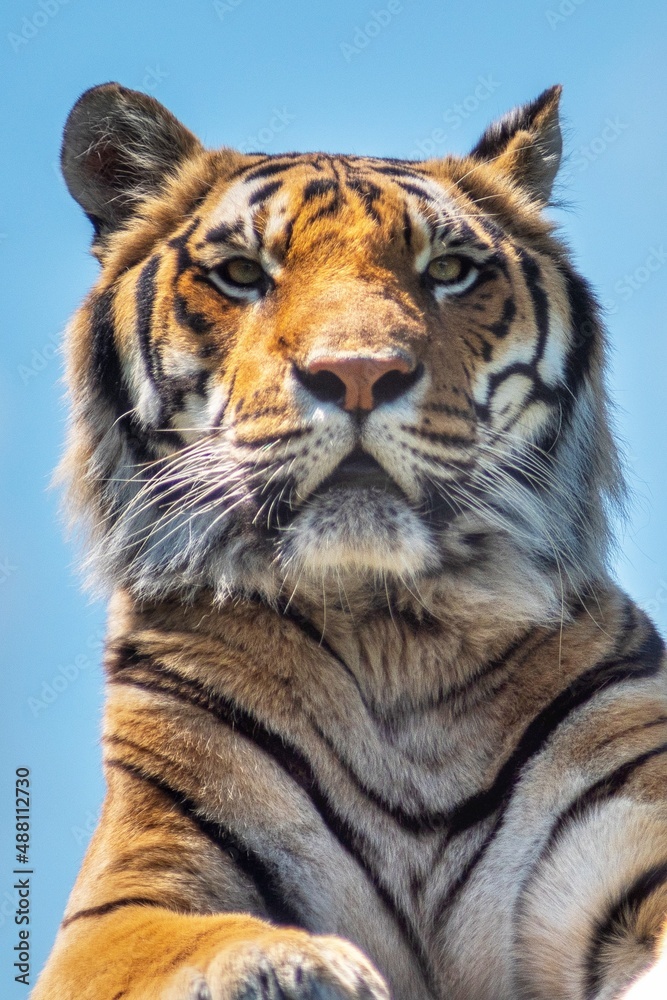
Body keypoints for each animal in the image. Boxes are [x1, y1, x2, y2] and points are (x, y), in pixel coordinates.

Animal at [32, 81, 667, 1000]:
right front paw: (285, 963)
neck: (389, 629)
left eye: (446, 270)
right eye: (241, 274)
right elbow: (180, 940)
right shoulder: (126, 894)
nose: (359, 373)